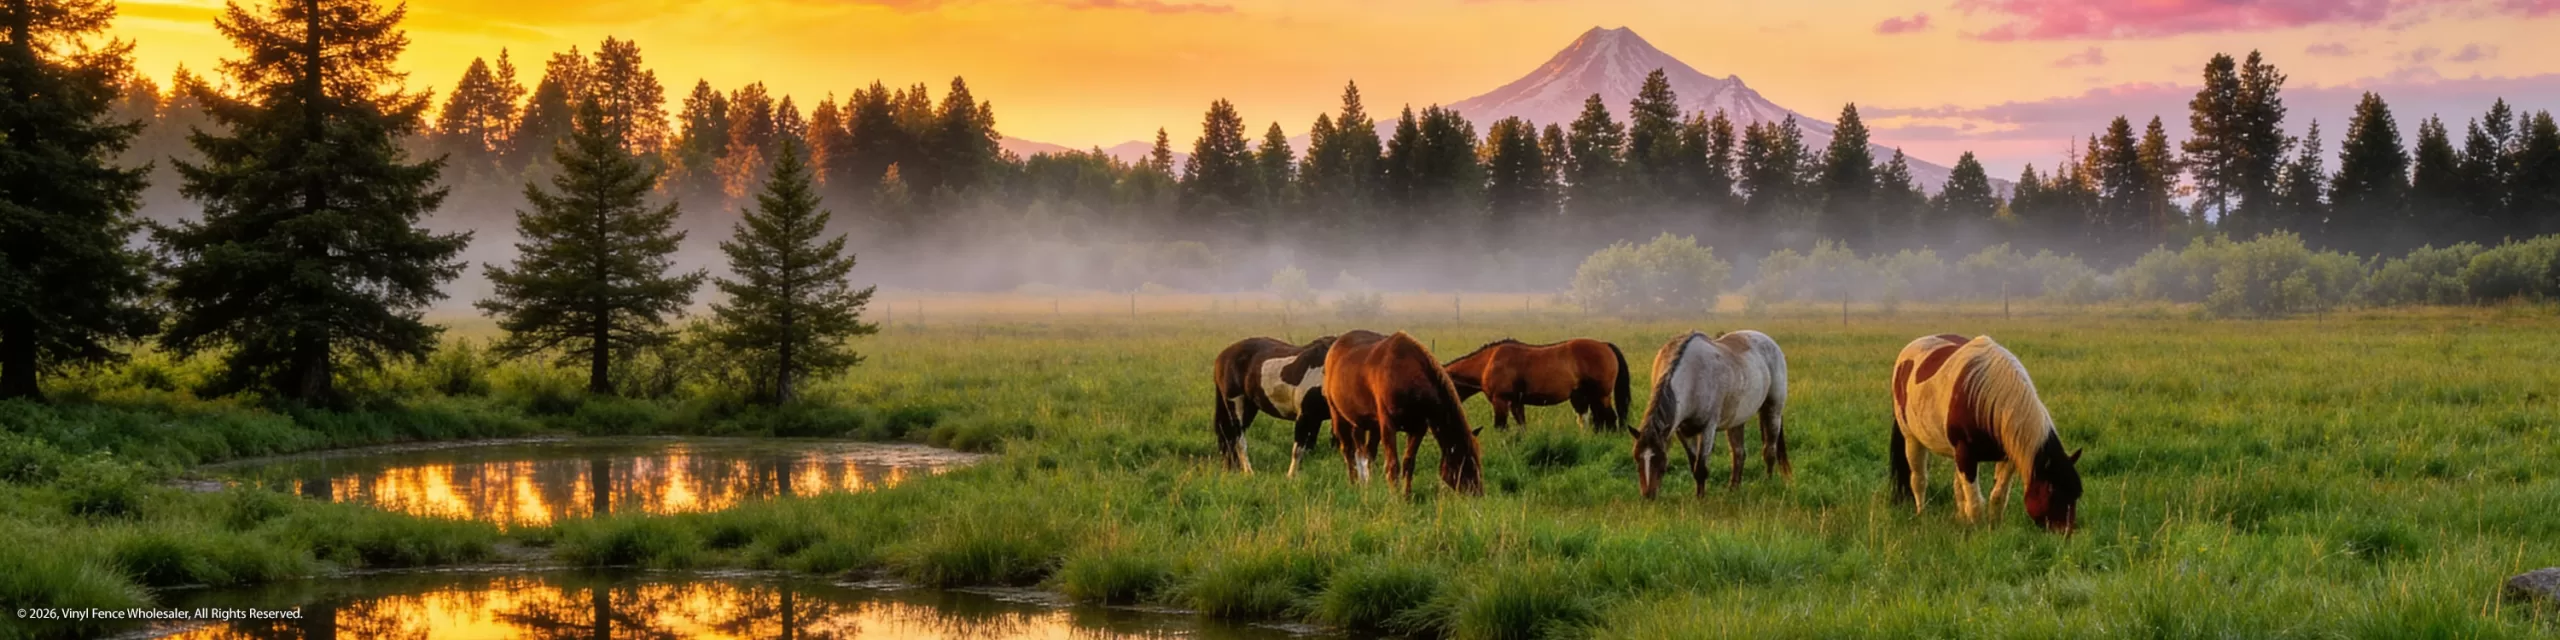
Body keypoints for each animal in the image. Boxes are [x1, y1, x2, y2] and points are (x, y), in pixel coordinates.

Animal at [1211, 335, 1337, 476]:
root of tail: (1222, 356)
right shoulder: (1305, 416)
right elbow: (1298, 450)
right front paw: (1291, 477)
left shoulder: (1318, 419)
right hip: (1235, 403)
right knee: (1238, 438)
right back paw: (1249, 472)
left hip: (1249, 408)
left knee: (1229, 438)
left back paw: (1231, 470)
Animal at [1323, 330, 1484, 496]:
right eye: (1465, 460)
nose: (1478, 494)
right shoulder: (1388, 426)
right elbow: (1393, 465)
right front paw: (1395, 497)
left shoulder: (1418, 428)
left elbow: (1409, 463)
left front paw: (1406, 495)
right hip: (1339, 416)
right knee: (1348, 452)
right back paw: (1354, 484)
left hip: (1368, 424)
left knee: (1367, 452)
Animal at [1441, 338, 1632, 433]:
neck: (1489, 361)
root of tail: (1605, 345)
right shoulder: (1516, 403)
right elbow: (1522, 427)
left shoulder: (1500, 401)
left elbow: (1500, 427)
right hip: (1587, 397)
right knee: (1596, 420)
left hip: (1601, 395)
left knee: (1609, 419)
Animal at [1630, 330, 1791, 499]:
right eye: (1637, 459)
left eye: (1661, 461)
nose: (1648, 495)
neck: (1692, 377)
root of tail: (1767, 339)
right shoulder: (1683, 431)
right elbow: (1693, 464)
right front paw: (1698, 495)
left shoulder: (1708, 428)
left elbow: (1700, 467)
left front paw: (1701, 499)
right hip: (1736, 420)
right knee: (1738, 453)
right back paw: (1733, 488)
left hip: (1773, 410)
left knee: (1769, 450)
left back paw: (1767, 482)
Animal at [1889, 334, 2085, 532]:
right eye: (2053, 491)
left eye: (2076, 494)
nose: (2066, 533)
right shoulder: (1966, 455)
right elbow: (1975, 502)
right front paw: (1976, 530)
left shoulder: (2006, 457)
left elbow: (1998, 496)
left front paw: (1994, 528)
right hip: (1912, 439)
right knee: (1918, 480)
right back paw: (1922, 514)